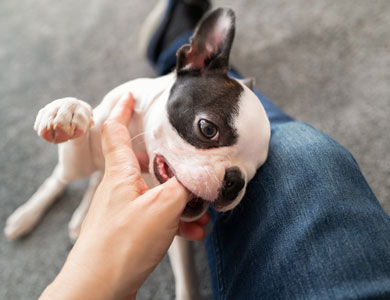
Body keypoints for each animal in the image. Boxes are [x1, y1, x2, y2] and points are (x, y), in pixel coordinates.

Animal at [3, 8, 272, 298]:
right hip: (71, 170)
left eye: (255, 170)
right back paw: (26, 216)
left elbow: (186, 275)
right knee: (59, 179)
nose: (235, 181)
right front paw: (68, 110)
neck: (139, 145)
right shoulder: (89, 149)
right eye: (208, 129)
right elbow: (79, 135)